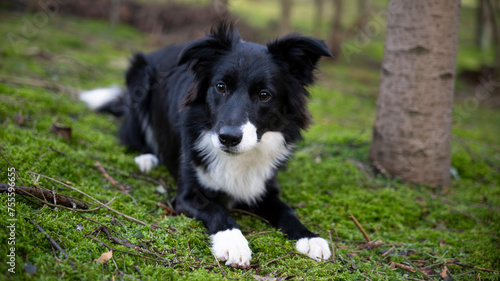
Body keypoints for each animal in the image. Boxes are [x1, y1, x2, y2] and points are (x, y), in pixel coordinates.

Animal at [80, 21, 332, 266]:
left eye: (264, 95)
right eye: (221, 87)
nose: (228, 138)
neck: (238, 158)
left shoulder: (264, 188)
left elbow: (287, 210)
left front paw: (310, 237)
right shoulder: (187, 196)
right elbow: (217, 210)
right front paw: (233, 243)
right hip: (139, 80)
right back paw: (146, 157)